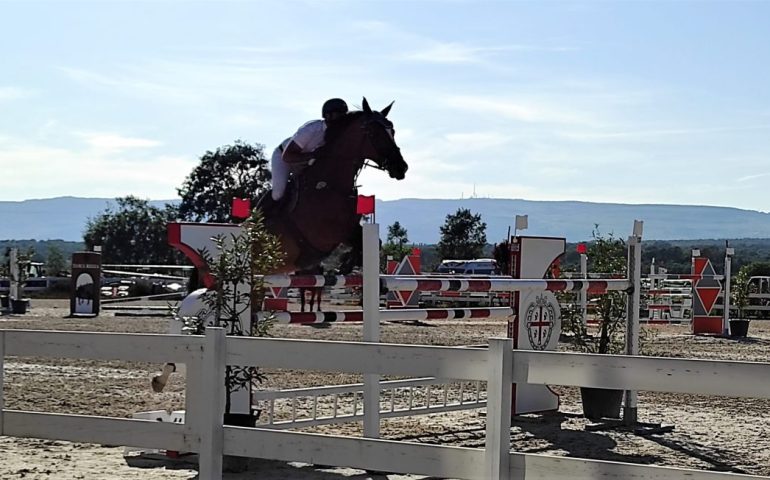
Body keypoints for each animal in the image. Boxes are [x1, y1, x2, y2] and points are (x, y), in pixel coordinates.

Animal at [258, 96, 408, 274]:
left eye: (393, 131)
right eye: (374, 133)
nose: (401, 167)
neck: (330, 184)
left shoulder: (352, 227)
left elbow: (371, 242)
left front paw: (346, 265)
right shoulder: (328, 233)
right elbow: (355, 241)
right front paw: (344, 265)